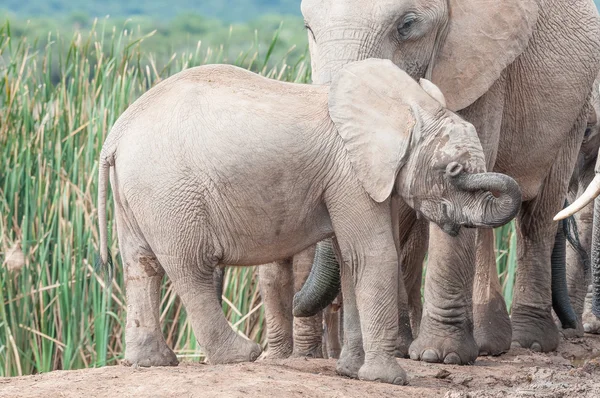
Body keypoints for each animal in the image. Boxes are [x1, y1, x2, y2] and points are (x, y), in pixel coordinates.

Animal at [97, 57, 520, 384]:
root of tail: (116, 134)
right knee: (191, 267)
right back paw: (242, 355)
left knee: (142, 266)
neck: (407, 106)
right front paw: (387, 379)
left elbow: (351, 260)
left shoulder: (364, 176)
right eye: (452, 171)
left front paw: (350, 372)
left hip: (137, 192)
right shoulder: (351, 172)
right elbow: (372, 254)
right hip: (169, 192)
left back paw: (152, 362)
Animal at [290, 0, 600, 370]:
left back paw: (532, 342)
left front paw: (438, 356)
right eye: (308, 28)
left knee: (538, 216)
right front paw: (401, 348)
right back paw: (488, 344)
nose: (295, 302)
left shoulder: (478, 67)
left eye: (407, 25)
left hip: (573, 111)